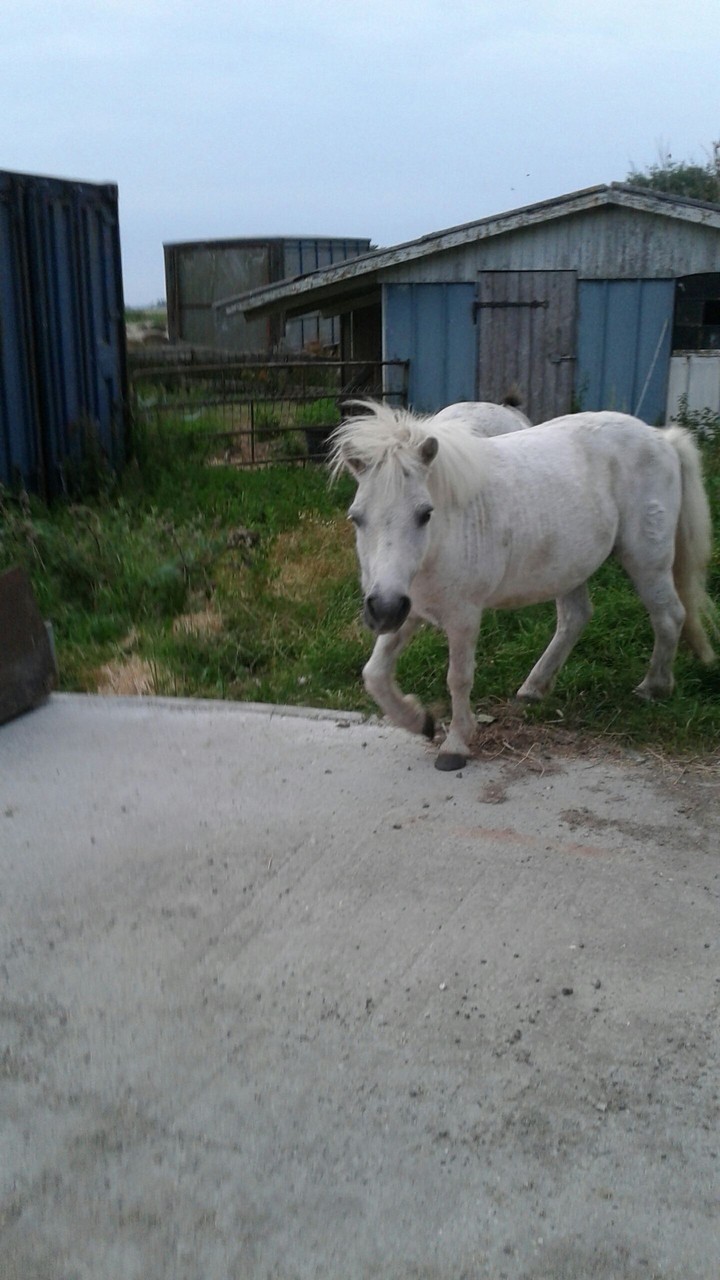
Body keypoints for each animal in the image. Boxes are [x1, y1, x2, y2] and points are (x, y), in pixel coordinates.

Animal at [329, 401, 716, 771]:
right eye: (356, 517)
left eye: (425, 514)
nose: (383, 609)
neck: (444, 533)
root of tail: (661, 438)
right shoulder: (408, 609)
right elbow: (375, 674)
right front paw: (419, 720)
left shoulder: (461, 616)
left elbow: (459, 678)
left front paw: (456, 743)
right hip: (570, 567)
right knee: (575, 618)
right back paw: (535, 687)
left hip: (646, 560)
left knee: (669, 616)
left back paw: (654, 687)